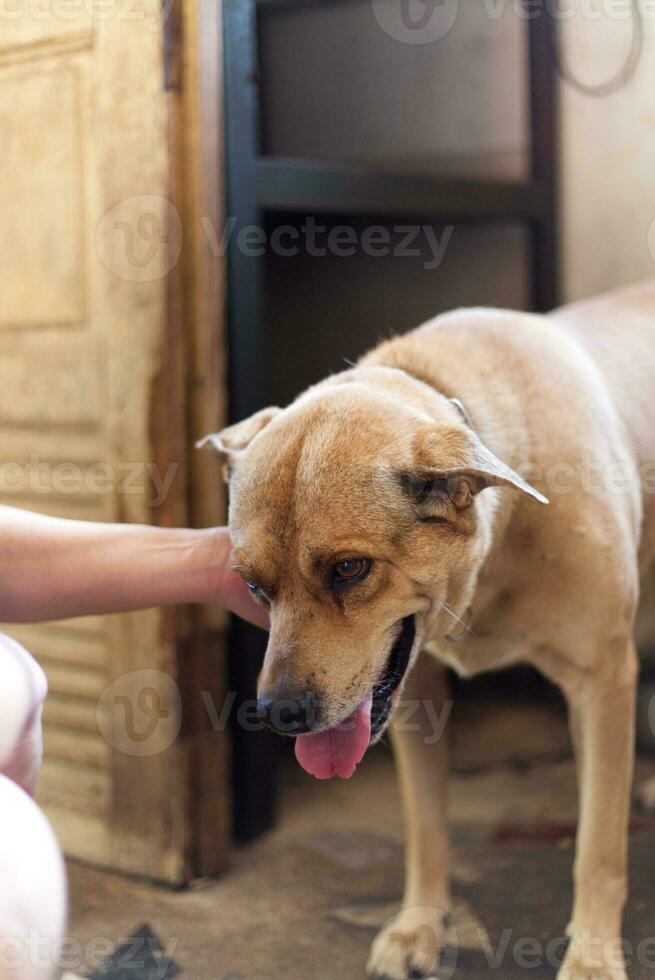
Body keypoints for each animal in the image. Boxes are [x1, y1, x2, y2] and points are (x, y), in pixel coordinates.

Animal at [201, 284, 655, 980]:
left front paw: (593, 960)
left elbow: (598, 847)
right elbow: (425, 824)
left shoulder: (602, 682)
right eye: (252, 585)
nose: (279, 715)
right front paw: (421, 923)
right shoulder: (413, 692)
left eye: (350, 568)